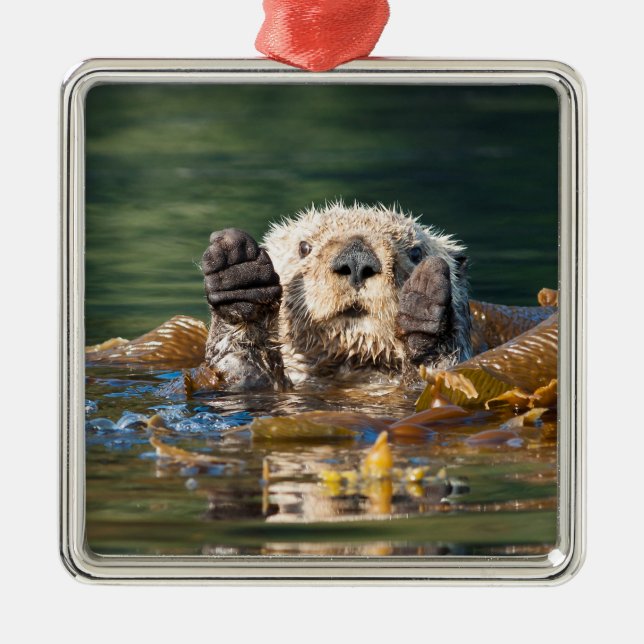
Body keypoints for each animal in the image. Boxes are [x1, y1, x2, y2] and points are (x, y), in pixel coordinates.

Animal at [201, 202, 472, 390]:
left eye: (416, 252)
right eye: (304, 247)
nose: (356, 260)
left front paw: (424, 312)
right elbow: (240, 370)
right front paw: (239, 275)